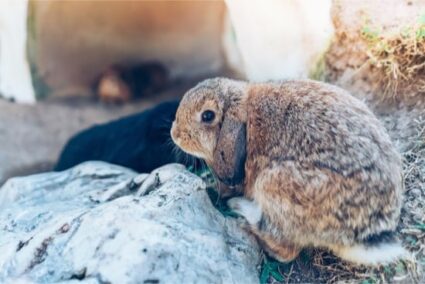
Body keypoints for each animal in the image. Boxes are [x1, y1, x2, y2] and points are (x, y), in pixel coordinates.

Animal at [171, 77, 406, 264]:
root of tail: (363, 233)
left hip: (274, 185)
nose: (176, 134)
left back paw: (242, 215)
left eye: (207, 116)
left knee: (285, 249)